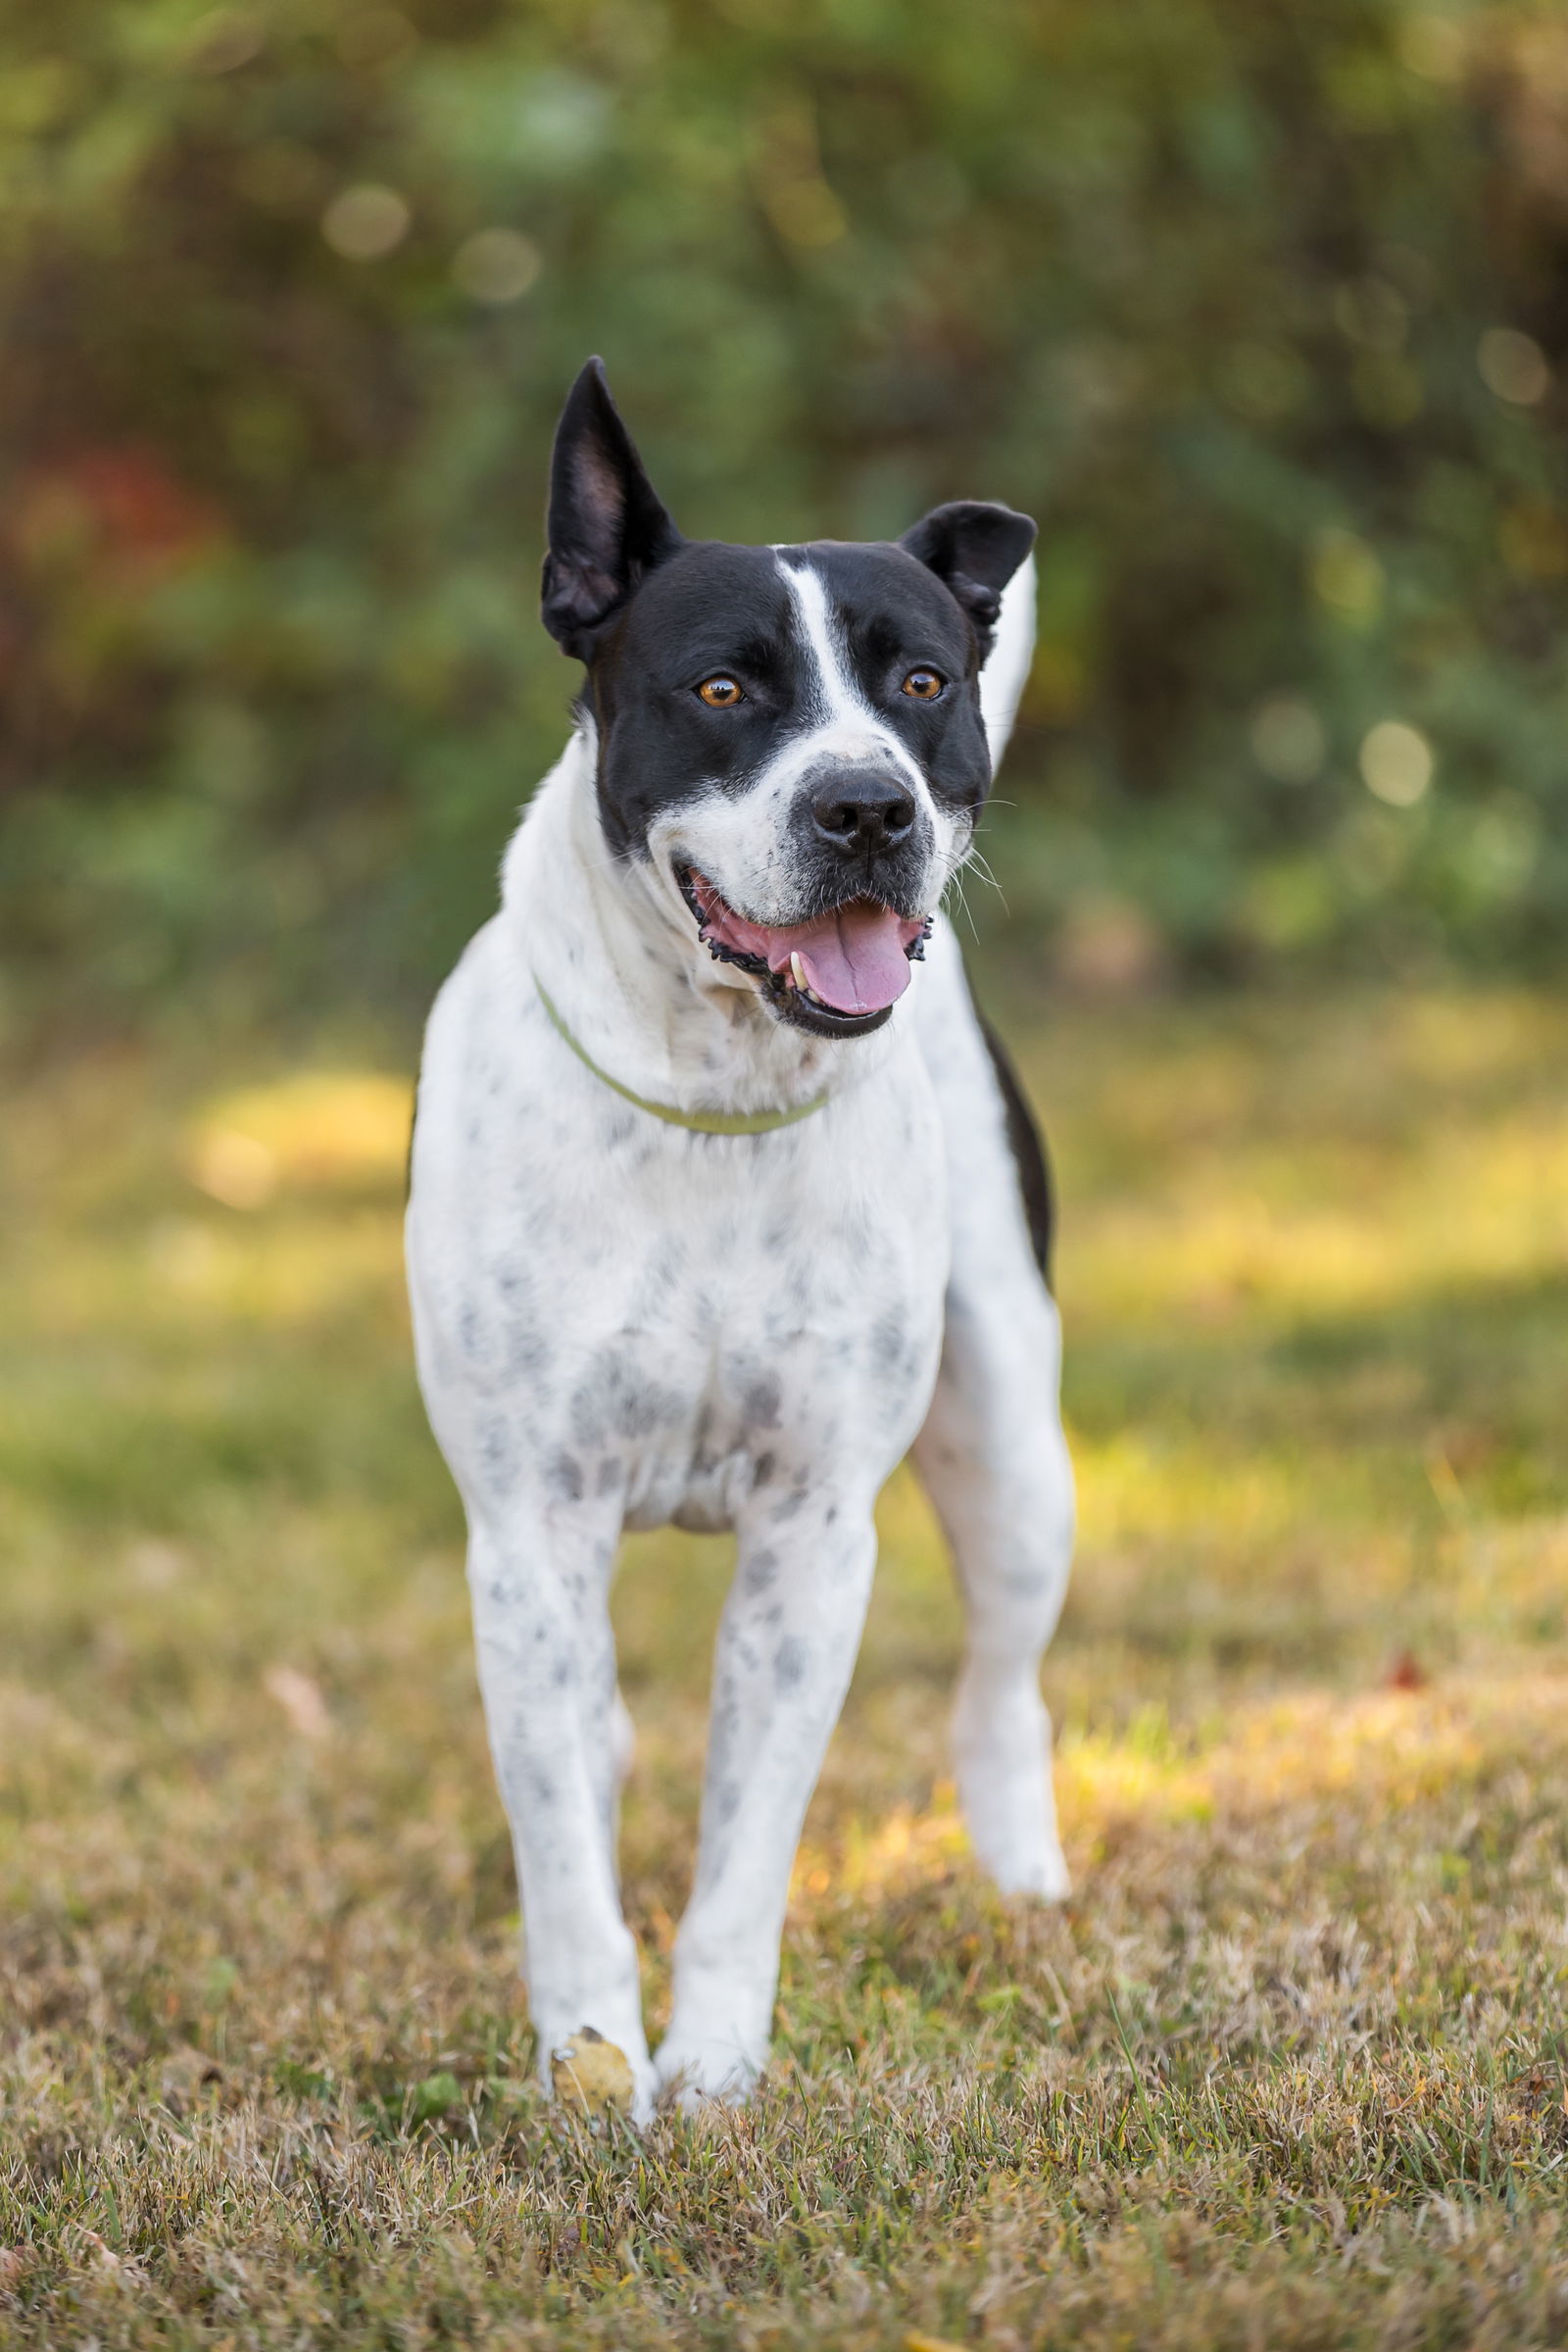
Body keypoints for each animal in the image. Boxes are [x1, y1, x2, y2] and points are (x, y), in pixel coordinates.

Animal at [402, 362, 1081, 2117]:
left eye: (921, 681)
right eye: (720, 689)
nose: (867, 806)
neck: (710, 1092)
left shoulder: (811, 1539)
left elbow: (746, 1848)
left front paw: (708, 2069)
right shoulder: (531, 1532)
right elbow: (561, 1842)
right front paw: (588, 2060)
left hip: (1016, 1457)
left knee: (1001, 1689)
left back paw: (1024, 1878)